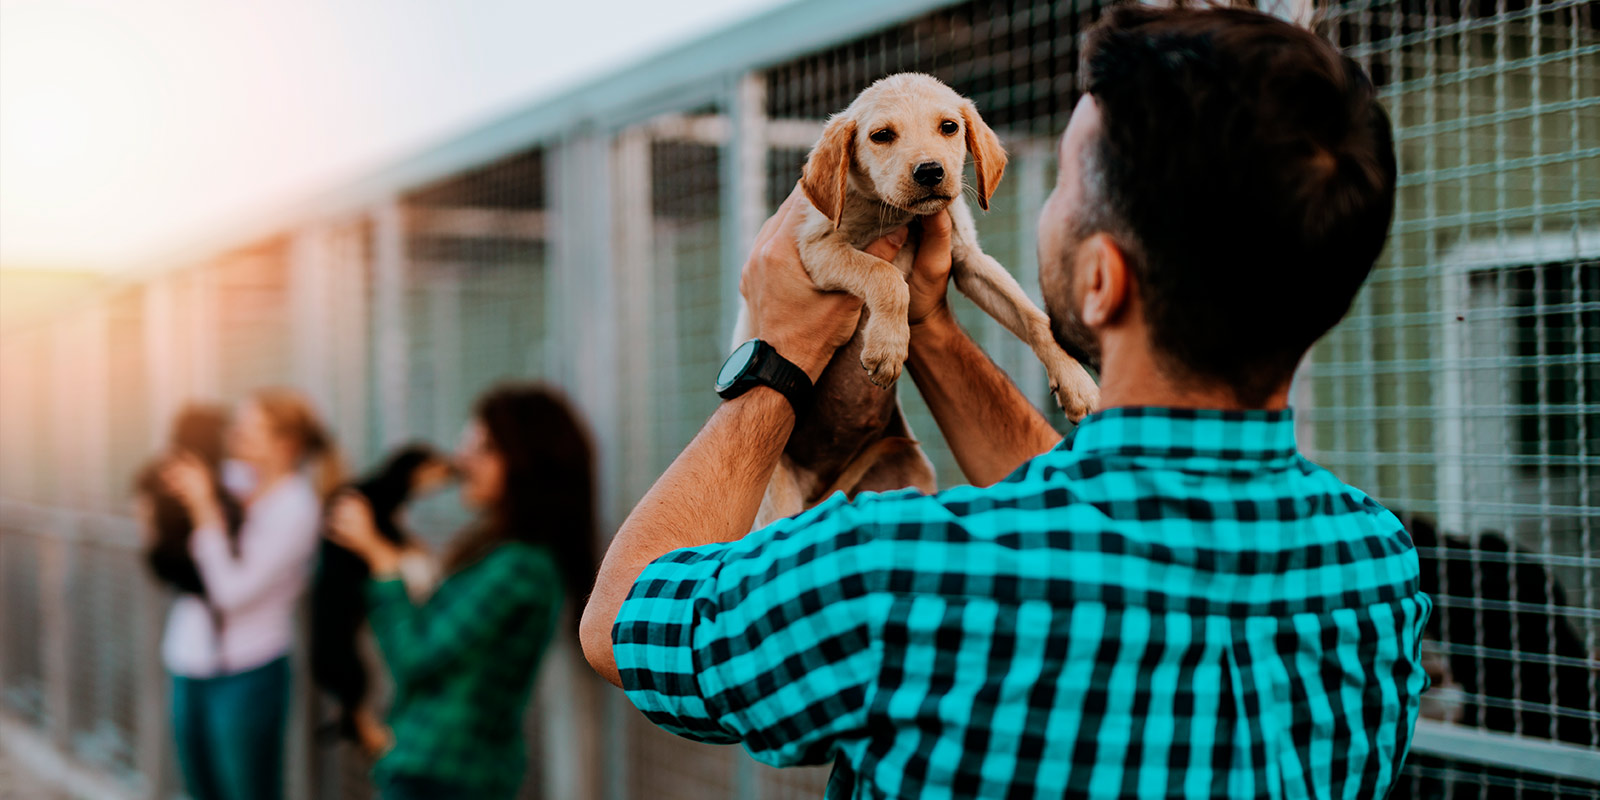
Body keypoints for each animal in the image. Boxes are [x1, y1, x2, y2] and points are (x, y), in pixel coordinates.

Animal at [739, 73, 1100, 524]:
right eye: (881, 136)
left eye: (949, 127)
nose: (930, 171)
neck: (900, 217)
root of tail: (822, 488)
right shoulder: (817, 249)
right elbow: (887, 275)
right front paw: (888, 345)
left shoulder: (968, 259)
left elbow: (1033, 317)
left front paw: (1075, 382)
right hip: (777, 498)